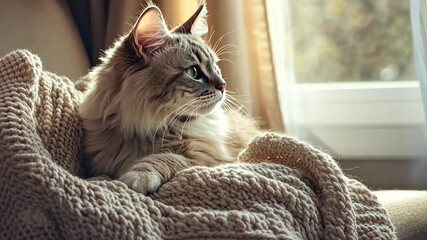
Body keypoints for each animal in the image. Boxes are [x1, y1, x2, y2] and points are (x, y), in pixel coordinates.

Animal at [78, 0, 260, 194]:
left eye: (216, 67)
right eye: (193, 72)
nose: (223, 85)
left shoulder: (205, 157)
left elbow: (166, 158)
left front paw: (139, 176)